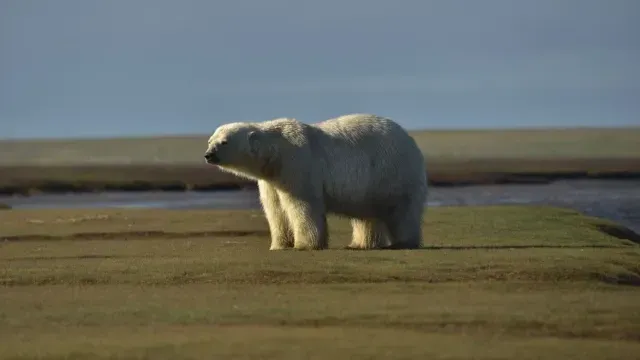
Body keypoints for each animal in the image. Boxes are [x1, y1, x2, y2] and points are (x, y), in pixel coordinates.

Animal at [204, 112, 424, 250]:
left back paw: (404, 242)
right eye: (210, 140)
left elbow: (302, 205)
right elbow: (275, 209)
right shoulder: (271, 179)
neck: (276, 153)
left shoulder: (297, 164)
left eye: (224, 142)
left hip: (392, 171)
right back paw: (361, 243)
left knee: (401, 209)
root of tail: (411, 141)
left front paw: (304, 245)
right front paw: (279, 245)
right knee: (366, 214)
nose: (208, 155)